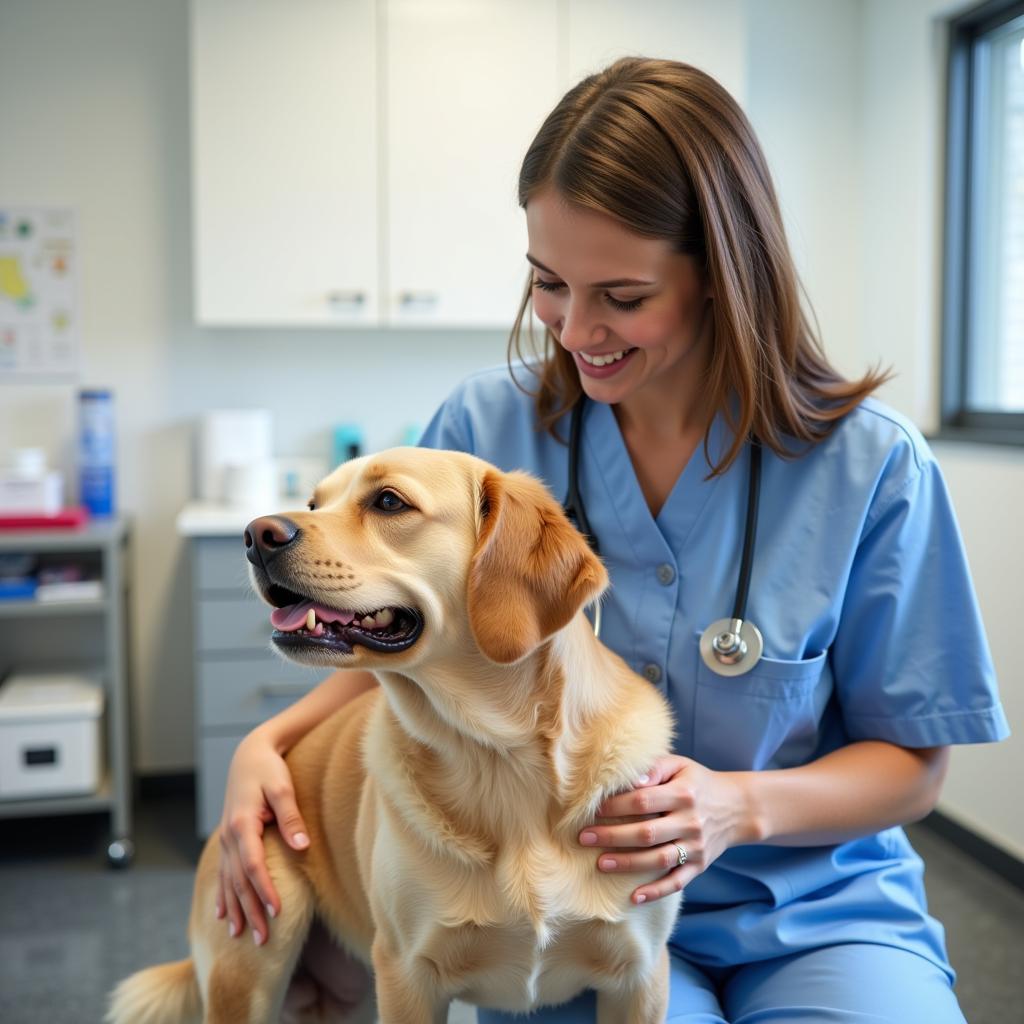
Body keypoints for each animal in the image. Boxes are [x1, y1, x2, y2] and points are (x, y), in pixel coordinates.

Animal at [108, 448, 675, 1024]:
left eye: (388, 502)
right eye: (314, 503)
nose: (254, 533)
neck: (499, 758)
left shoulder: (641, 976)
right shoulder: (407, 977)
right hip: (257, 957)